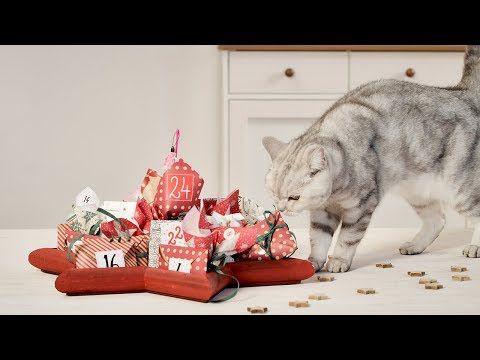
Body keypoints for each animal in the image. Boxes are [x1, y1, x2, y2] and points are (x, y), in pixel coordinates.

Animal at [264, 45, 480, 272]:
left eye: (294, 197)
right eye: (274, 194)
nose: (281, 208)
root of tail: (461, 92)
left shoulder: (360, 207)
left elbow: (347, 238)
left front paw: (339, 260)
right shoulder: (322, 212)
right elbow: (318, 238)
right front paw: (313, 262)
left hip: (460, 188)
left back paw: (474, 247)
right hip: (417, 191)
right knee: (438, 220)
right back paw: (415, 245)